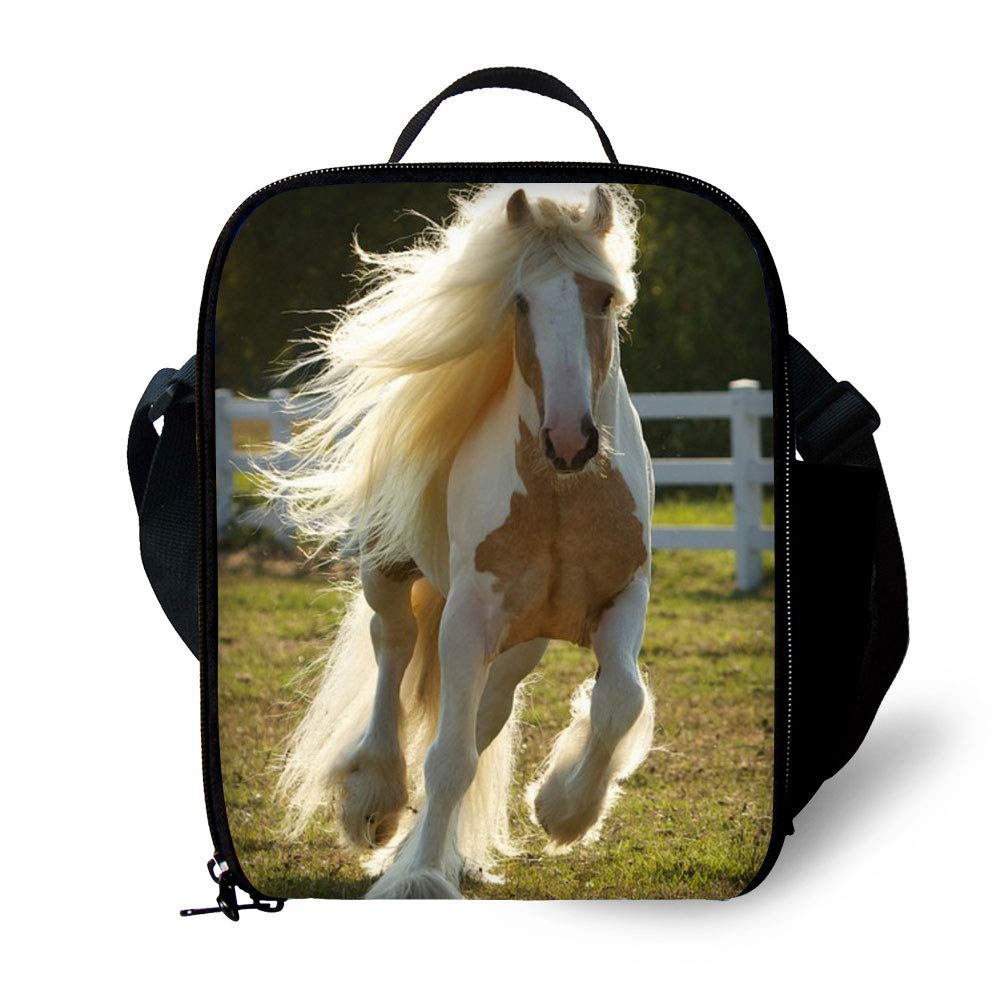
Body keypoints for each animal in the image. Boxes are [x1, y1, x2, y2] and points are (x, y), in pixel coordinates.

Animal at [266, 183, 655, 899]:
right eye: (521, 300)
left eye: (605, 298)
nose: (569, 440)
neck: (562, 498)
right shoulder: (470, 614)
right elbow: (447, 759)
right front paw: (419, 876)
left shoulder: (623, 598)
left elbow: (619, 701)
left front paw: (562, 810)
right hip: (390, 574)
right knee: (393, 647)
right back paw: (376, 803)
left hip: (518, 643)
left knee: (485, 713)